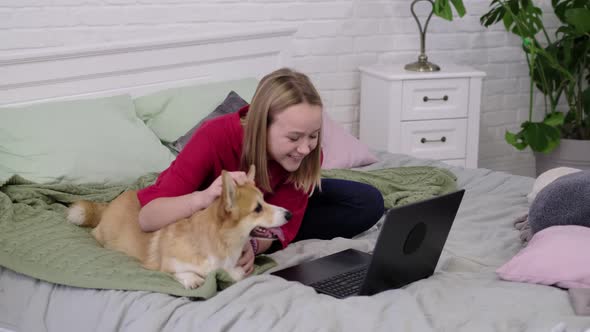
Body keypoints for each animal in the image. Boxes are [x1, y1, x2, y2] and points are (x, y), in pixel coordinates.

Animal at [66, 165, 292, 288]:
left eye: (265, 200)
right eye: (257, 208)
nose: (289, 214)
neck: (219, 242)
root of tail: (110, 203)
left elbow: (235, 273)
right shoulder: (166, 265)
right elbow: (180, 272)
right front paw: (193, 279)